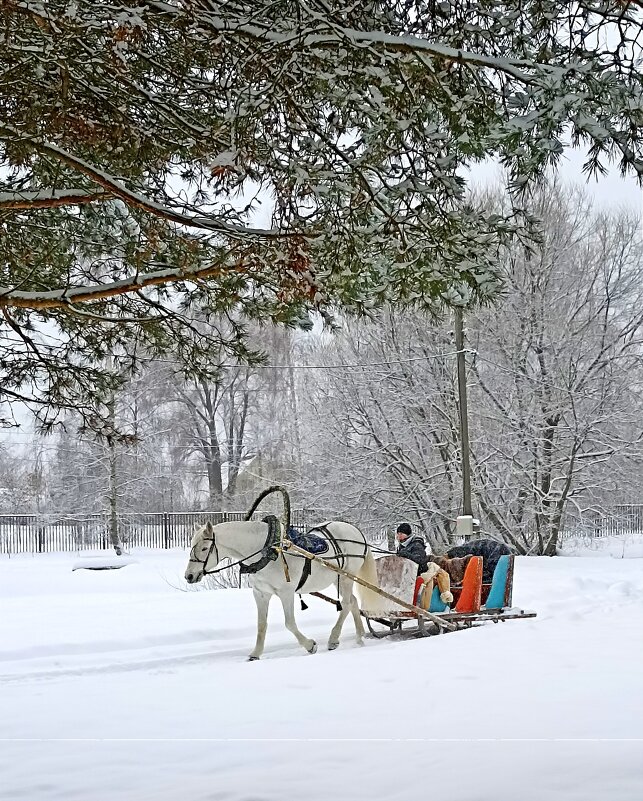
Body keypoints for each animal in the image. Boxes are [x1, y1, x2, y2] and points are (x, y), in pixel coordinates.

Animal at [184, 516, 384, 660]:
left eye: (204, 548)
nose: (189, 576)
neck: (267, 550)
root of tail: (356, 531)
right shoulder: (260, 593)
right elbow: (261, 625)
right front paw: (255, 653)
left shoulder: (286, 593)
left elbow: (289, 623)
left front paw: (310, 645)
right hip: (339, 578)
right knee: (352, 601)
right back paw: (359, 637)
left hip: (346, 576)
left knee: (347, 604)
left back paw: (334, 639)